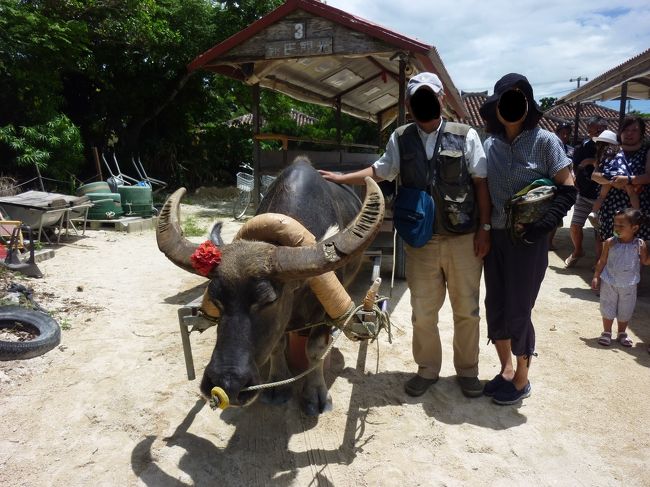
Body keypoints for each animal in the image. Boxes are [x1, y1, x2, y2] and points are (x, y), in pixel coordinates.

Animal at [156, 158, 382, 418]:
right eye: (215, 299)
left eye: (268, 301)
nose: (226, 383)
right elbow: (278, 345)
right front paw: (276, 386)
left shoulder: (322, 314)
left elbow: (315, 349)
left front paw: (315, 395)